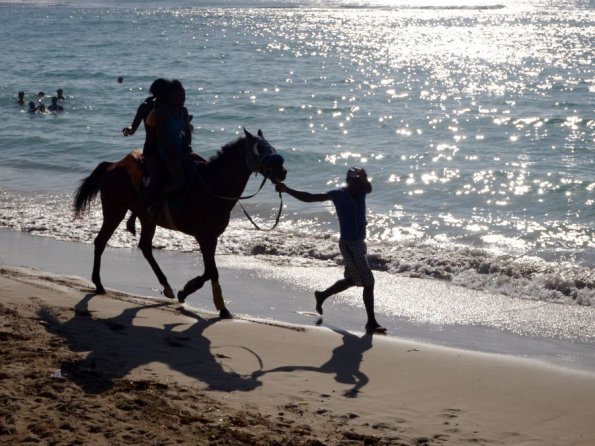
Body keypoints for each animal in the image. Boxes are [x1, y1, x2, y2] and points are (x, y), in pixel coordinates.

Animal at [73, 127, 288, 318]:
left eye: (271, 146)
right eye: (259, 149)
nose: (282, 169)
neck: (213, 187)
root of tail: (113, 165)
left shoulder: (212, 238)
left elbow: (209, 271)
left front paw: (186, 291)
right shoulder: (205, 237)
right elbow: (212, 271)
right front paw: (220, 307)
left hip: (146, 218)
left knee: (145, 247)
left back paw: (166, 286)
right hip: (114, 210)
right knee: (101, 242)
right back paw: (99, 284)